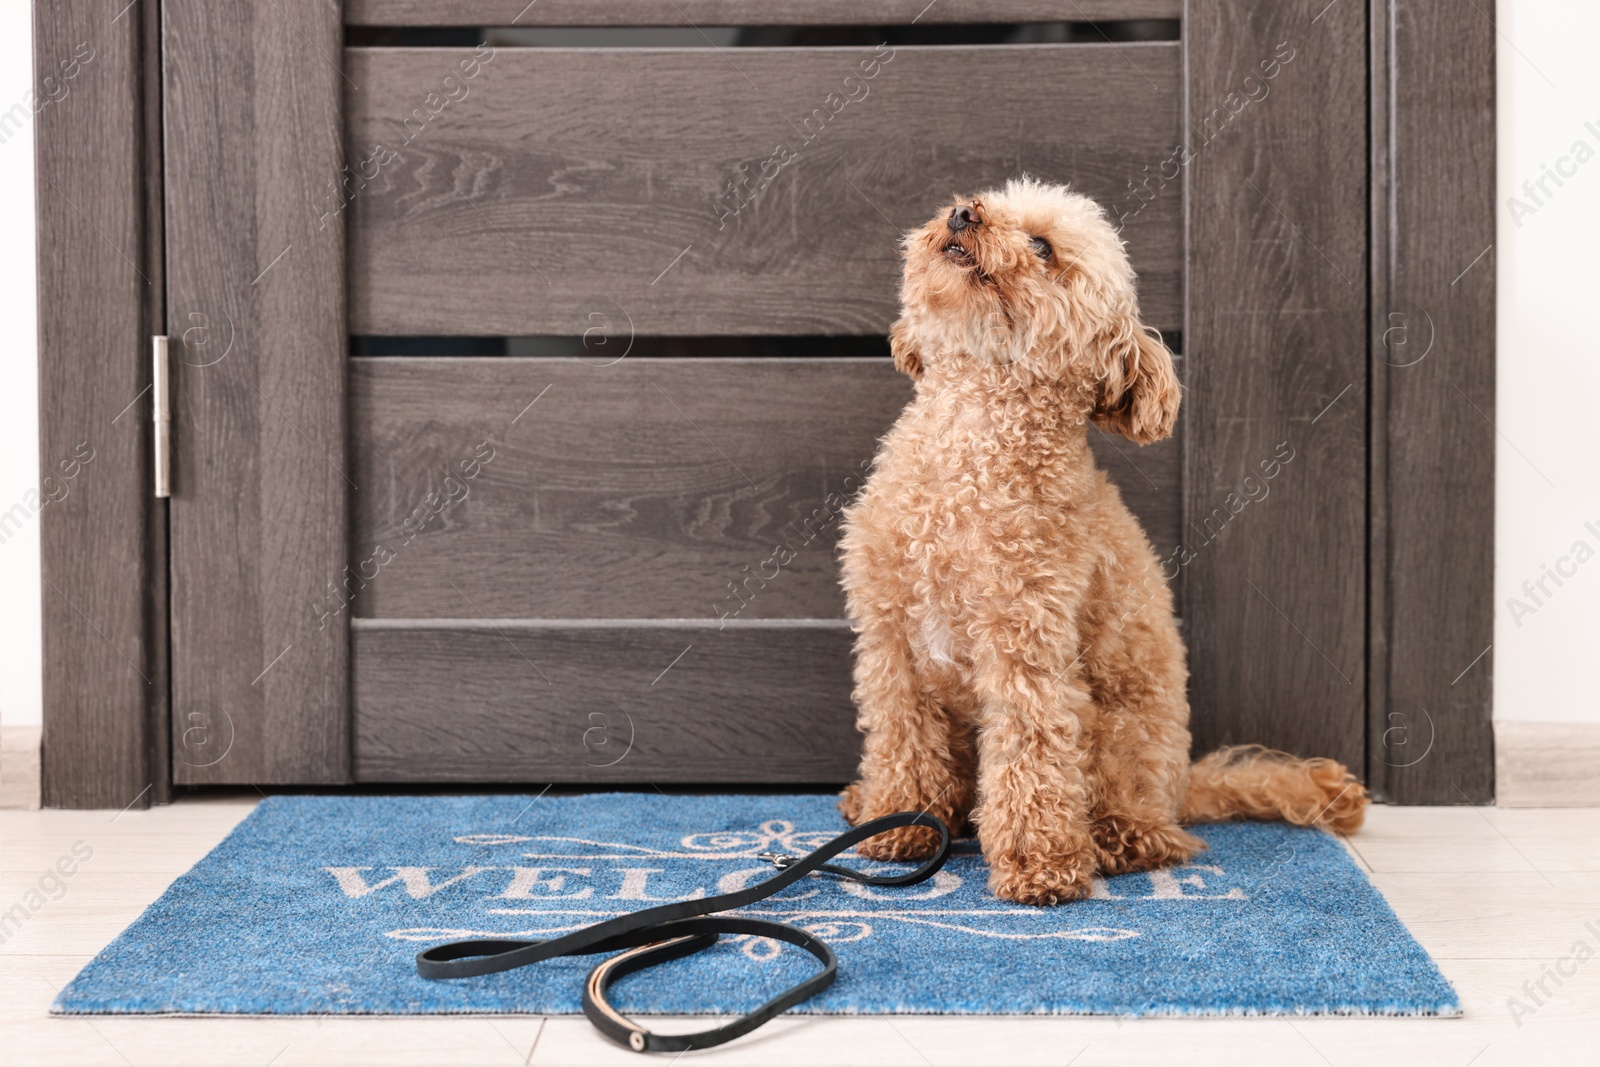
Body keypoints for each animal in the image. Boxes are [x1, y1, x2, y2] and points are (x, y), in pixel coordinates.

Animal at [832, 179, 1369, 908]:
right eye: (991, 205)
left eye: (1043, 247)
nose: (963, 213)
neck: (968, 449)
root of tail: (1186, 786)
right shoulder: (892, 644)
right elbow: (901, 742)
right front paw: (899, 824)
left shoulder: (1027, 648)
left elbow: (1033, 761)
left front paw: (1042, 866)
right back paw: (870, 804)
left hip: (1120, 737)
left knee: (1147, 825)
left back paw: (1116, 838)